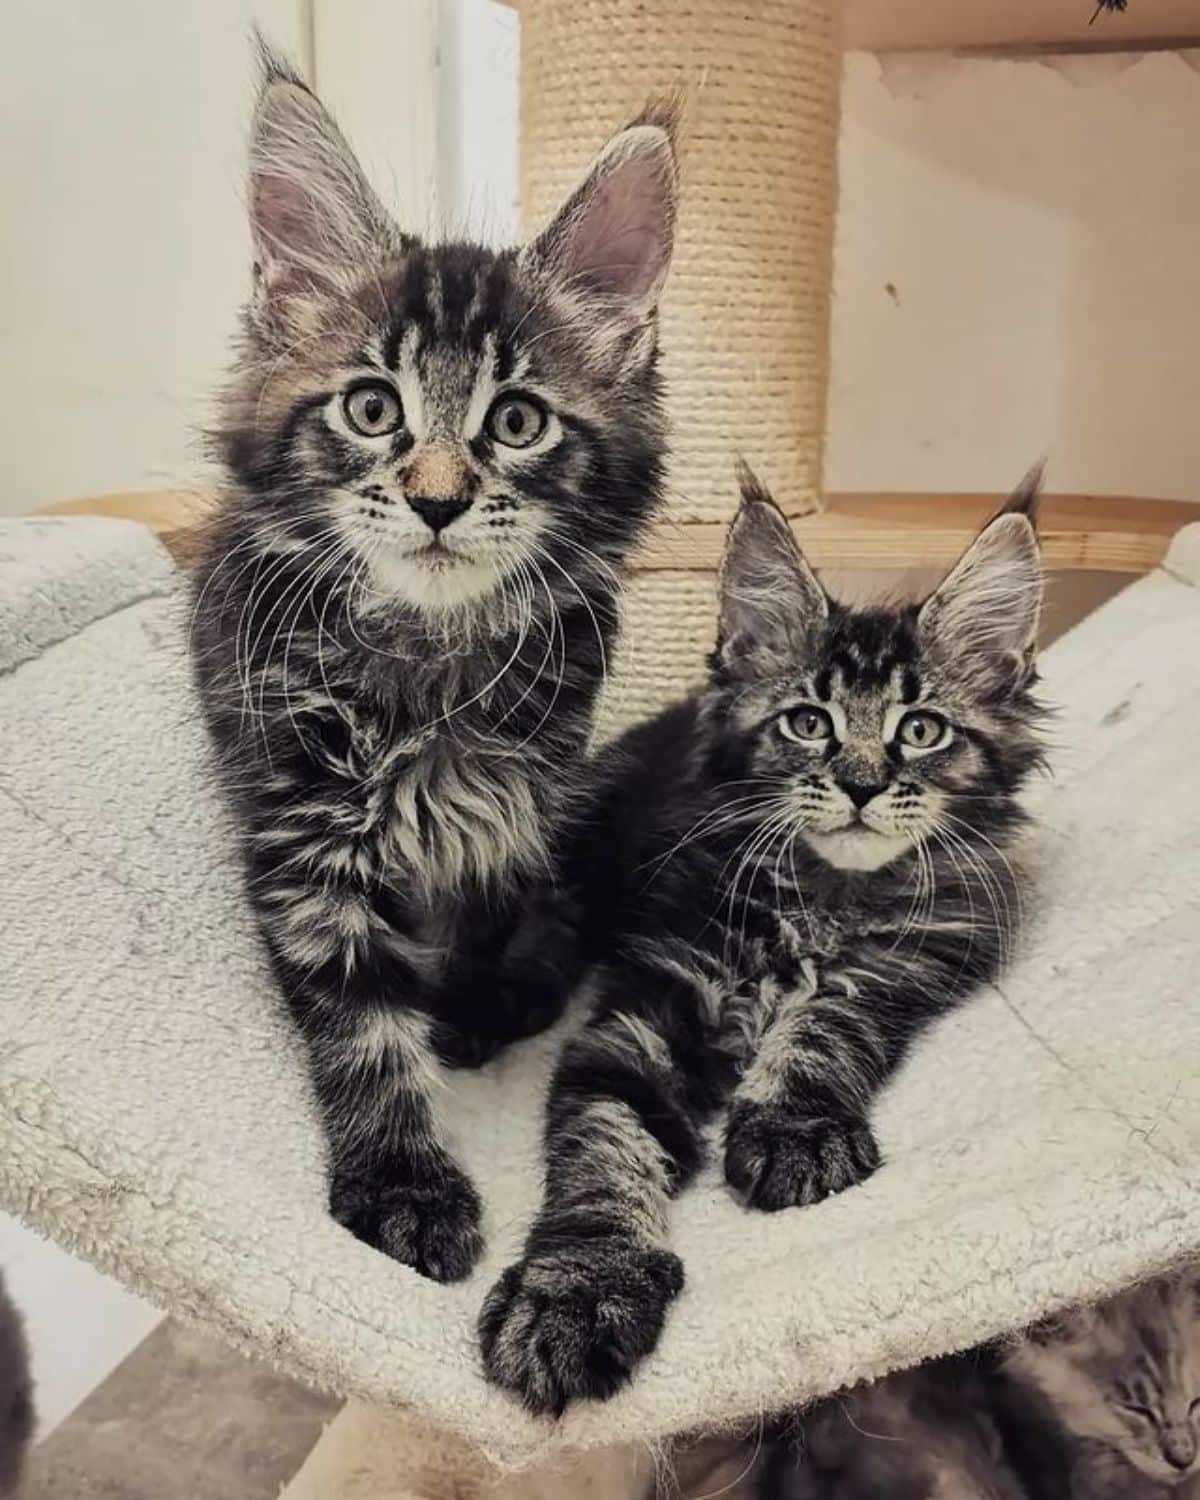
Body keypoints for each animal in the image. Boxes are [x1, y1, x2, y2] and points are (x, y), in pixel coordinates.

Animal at [187, 49, 675, 1290]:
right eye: (372, 409)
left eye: (517, 422)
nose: (440, 500)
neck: (426, 659)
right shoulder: (302, 840)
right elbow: (363, 1033)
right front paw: (403, 1185)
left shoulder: (517, 808)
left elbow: (489, 926)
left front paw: (470, 1011)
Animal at [483, 465, 1044, 1404]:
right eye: (808, 723)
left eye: (921, 730)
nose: (860, 785)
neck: (825, 897)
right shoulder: (647, 1003)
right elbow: (602, 1148)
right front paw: (575, 1293)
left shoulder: (902, 967)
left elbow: (824, 1030)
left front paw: (792, 1130)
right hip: (584, 831)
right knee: (552, 920)